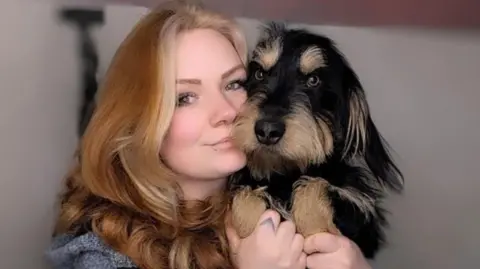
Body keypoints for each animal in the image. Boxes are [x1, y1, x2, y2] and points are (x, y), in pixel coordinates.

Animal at [229, 22, 404, 258]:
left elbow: (314, 190)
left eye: (313, 80)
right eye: (258, 74)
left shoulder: (361, 212)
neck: (286, 175)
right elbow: (243, 201)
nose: (266, 130)